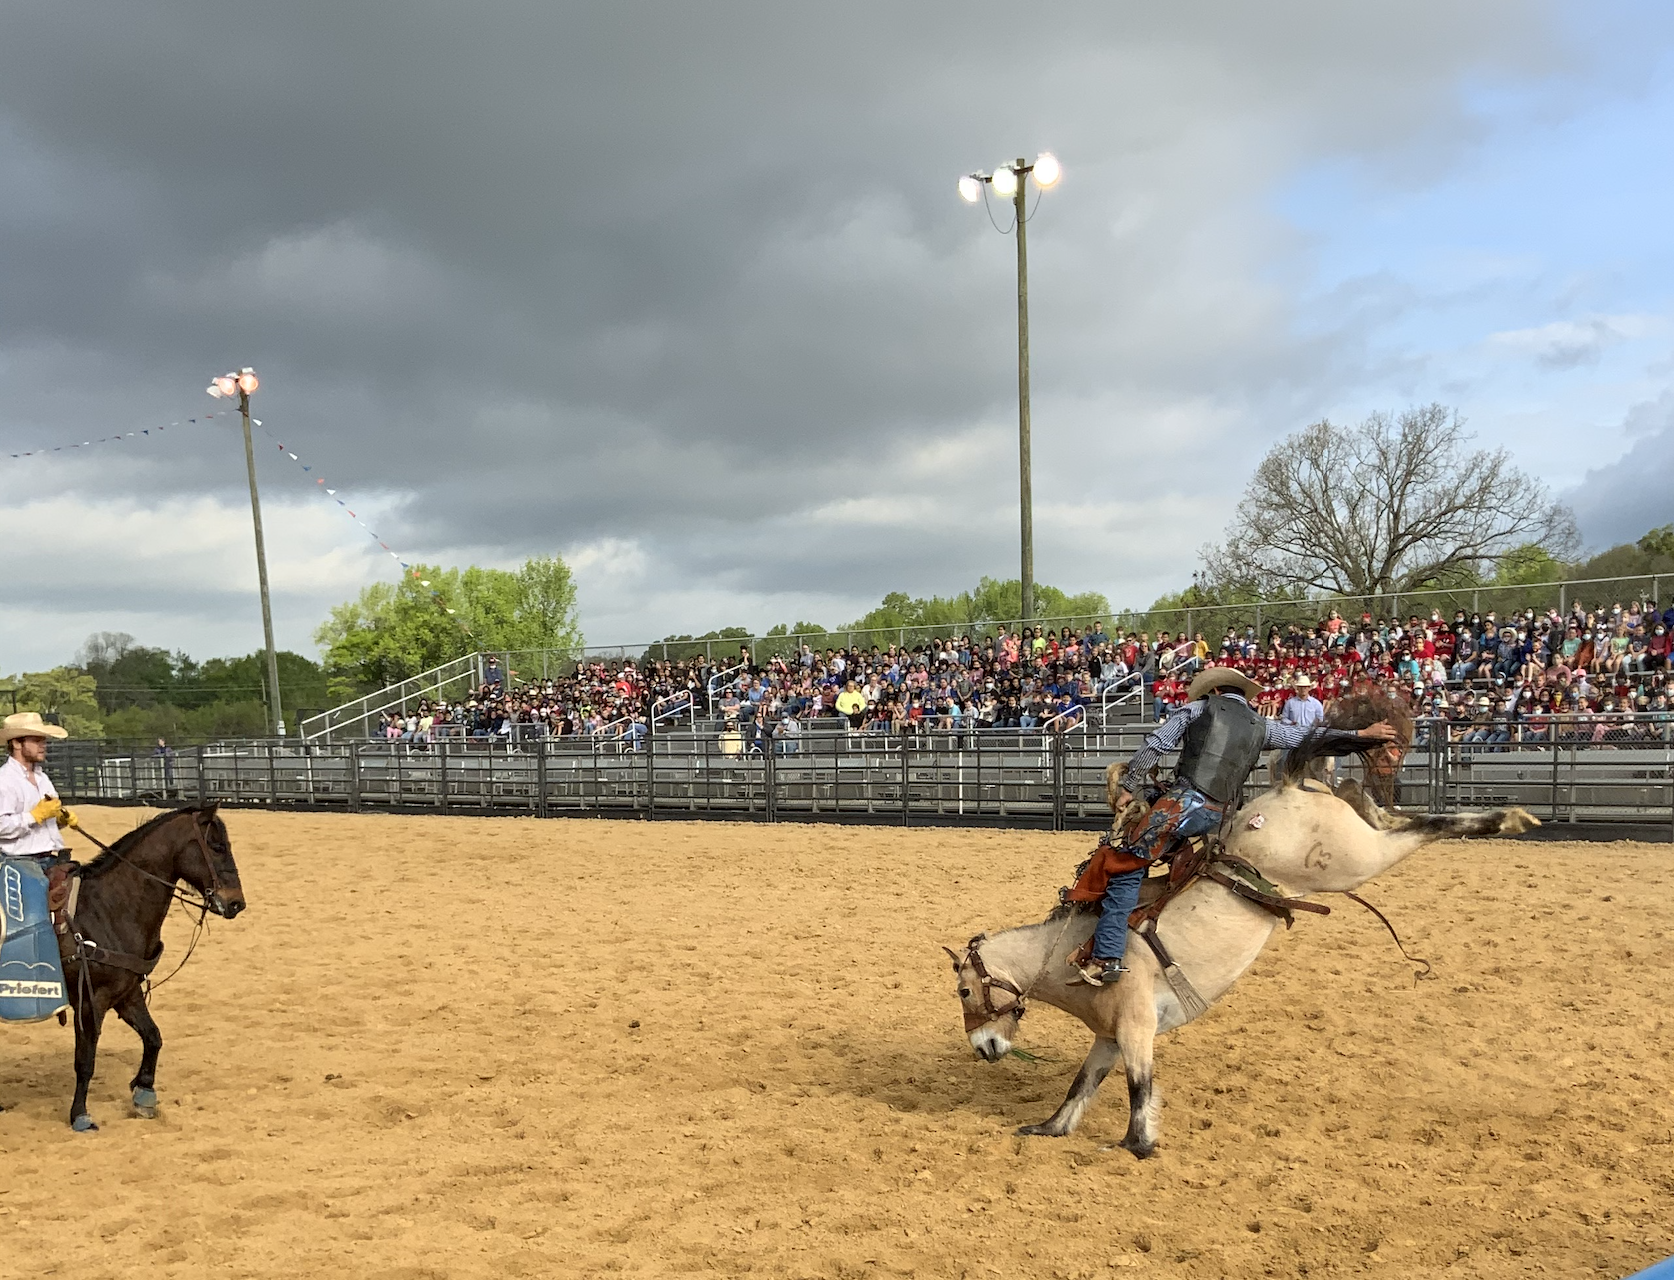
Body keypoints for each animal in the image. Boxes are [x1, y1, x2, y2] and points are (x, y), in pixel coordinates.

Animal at [950, 732, 1533, 1151]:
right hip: (1353, 835)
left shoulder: (1137, 1028)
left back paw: (1507, 817)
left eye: (963, 991)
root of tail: (1287, 787)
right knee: (1383, 810)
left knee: (1425, 826)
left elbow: (1141, 1089)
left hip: (1352, 860)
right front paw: (1048, 1128)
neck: (1073, 952)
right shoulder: (1110, 1036)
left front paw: (1137, 1144)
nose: (983, 1049)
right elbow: (1080, 1086)